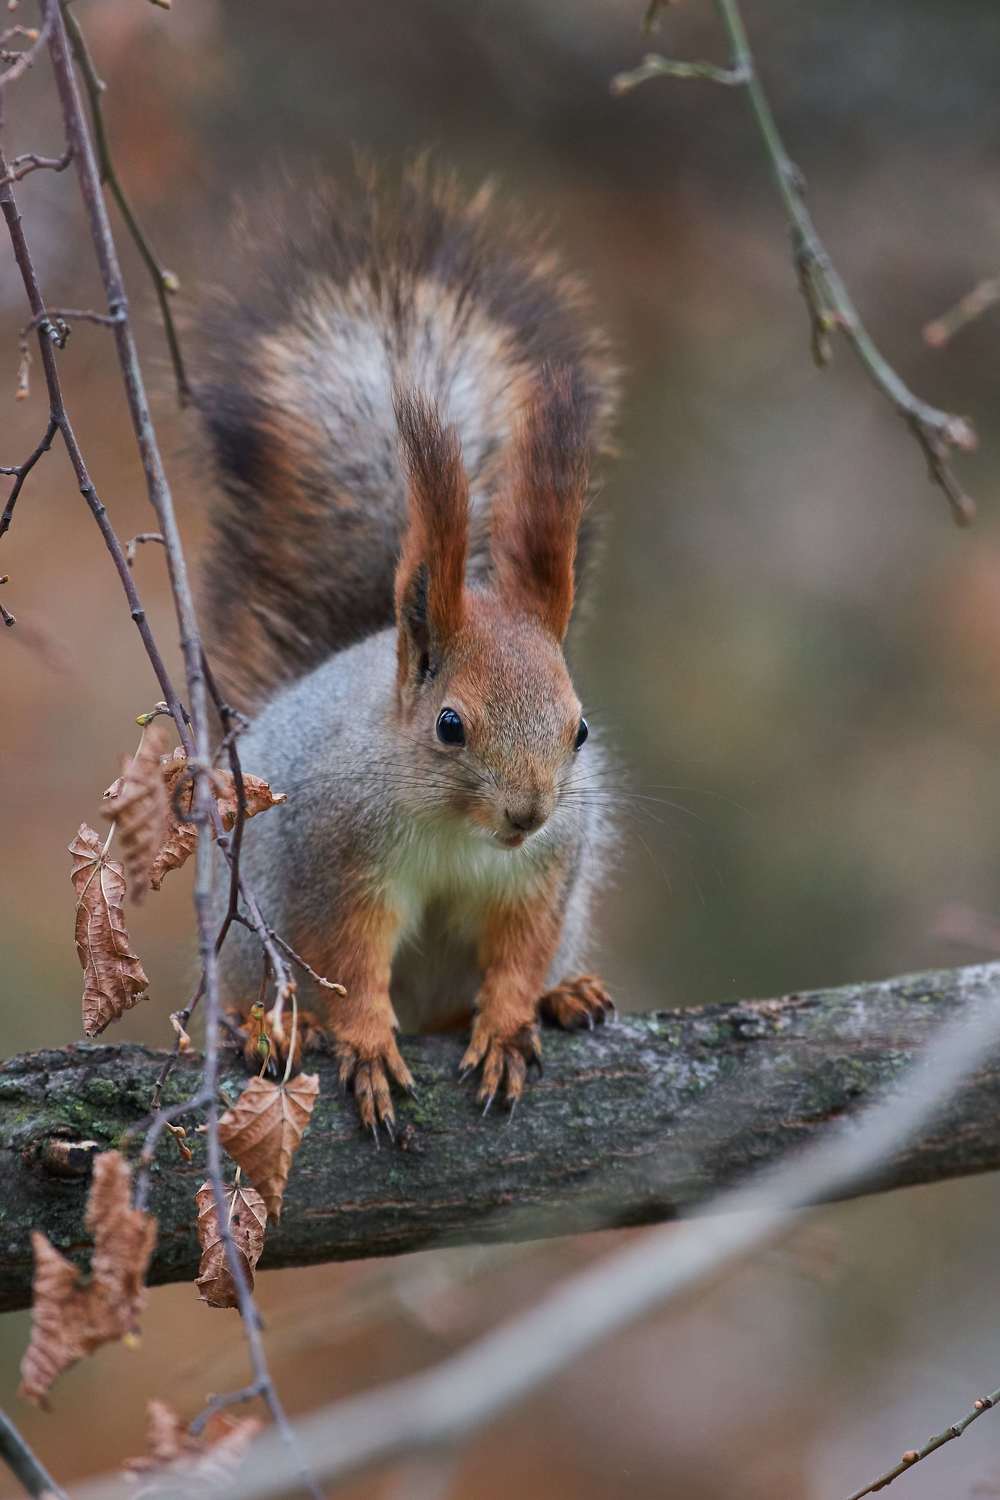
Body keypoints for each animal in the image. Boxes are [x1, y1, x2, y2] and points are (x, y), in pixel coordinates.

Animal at [193, 164, 620, 1134]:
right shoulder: (331, 859)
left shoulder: (544, 872)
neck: (460, 830)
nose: (528, 813)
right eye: (450, 725)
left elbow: (520, 949)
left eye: (580, 729)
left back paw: (563, 995)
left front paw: (511, 1020)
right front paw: (367, 1047)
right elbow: (347, 967)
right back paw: (259, 1030)